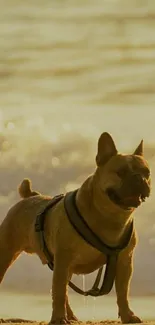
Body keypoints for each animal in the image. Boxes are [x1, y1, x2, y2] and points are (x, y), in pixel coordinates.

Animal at [0, 133, 151, 322]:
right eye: (121, 172)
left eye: (147, 173)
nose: (140, 178)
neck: (110, 217)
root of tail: (29, 196)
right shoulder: (63, 259)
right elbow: (58, 291)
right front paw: (58, 318)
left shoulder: (124, 261)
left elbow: (123, 292)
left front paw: (127, 315)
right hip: (7, 253)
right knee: (60, 289)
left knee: (64, 291)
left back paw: (71, 316)